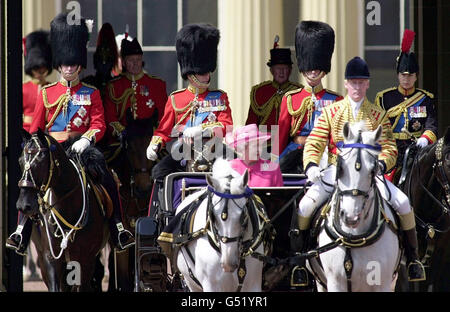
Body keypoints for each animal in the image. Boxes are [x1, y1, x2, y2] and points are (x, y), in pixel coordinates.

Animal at [17, 129, 110, 290]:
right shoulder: (50, 258)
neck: (68, 207)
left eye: (41, 161)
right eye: (21, 161)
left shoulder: (86, 259)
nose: (24, 205)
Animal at [175, 158, 268, 292]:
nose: (228, 263)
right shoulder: (211, 285)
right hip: (190, 283)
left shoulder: (253, 285)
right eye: (213, 215)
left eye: (243, 216)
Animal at [310, 120, 400, 292]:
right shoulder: (335, 282)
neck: (354, 237)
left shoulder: (383, 283)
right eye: (340, 167)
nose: (350, 217)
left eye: (373, 170)